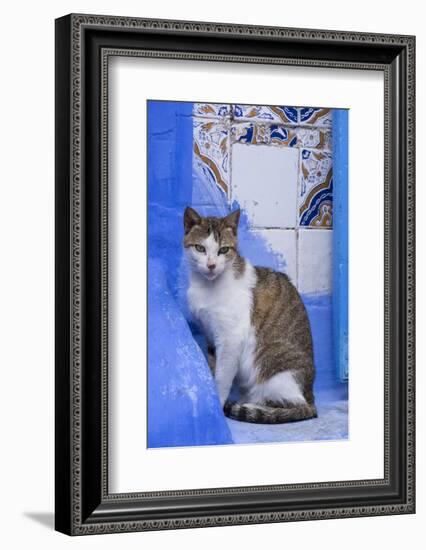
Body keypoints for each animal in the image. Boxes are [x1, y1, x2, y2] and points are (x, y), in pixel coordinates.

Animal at [182, 207, 316, 426]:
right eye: (200, 248)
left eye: (224, 250)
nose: (211, 265)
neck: (207, 287)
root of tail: (311, 396)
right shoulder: (209, 335)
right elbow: (213, 366)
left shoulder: (231, 338)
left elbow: (222, 376)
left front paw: (218, 403)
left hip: (275, 371)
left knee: (292, 405)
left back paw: (251, 406)